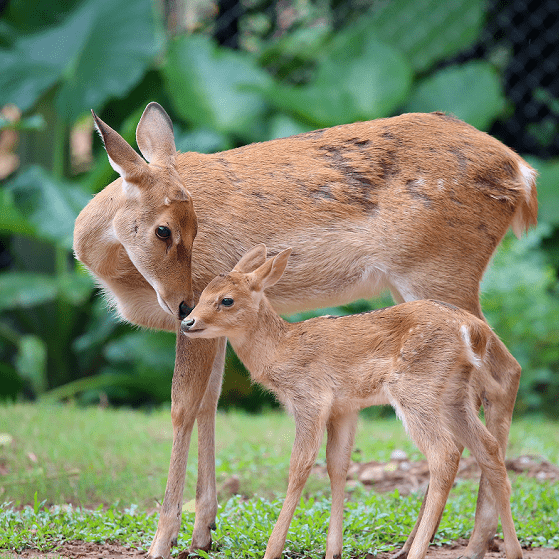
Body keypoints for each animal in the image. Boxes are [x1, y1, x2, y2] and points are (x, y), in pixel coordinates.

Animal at [182, 247, 524, 559]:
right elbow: (337, 465)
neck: (281, 350)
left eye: (226, 299)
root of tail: (474, 330)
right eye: (202, 293)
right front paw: (333, 550)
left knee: (444, 452)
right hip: (454, 394)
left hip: (416, 387)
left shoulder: (310, 398)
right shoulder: (345, 408)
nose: (187, 321)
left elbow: (299, 466)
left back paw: (415, 551)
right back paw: (513, 551)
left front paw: (272, 549)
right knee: (489, 449)